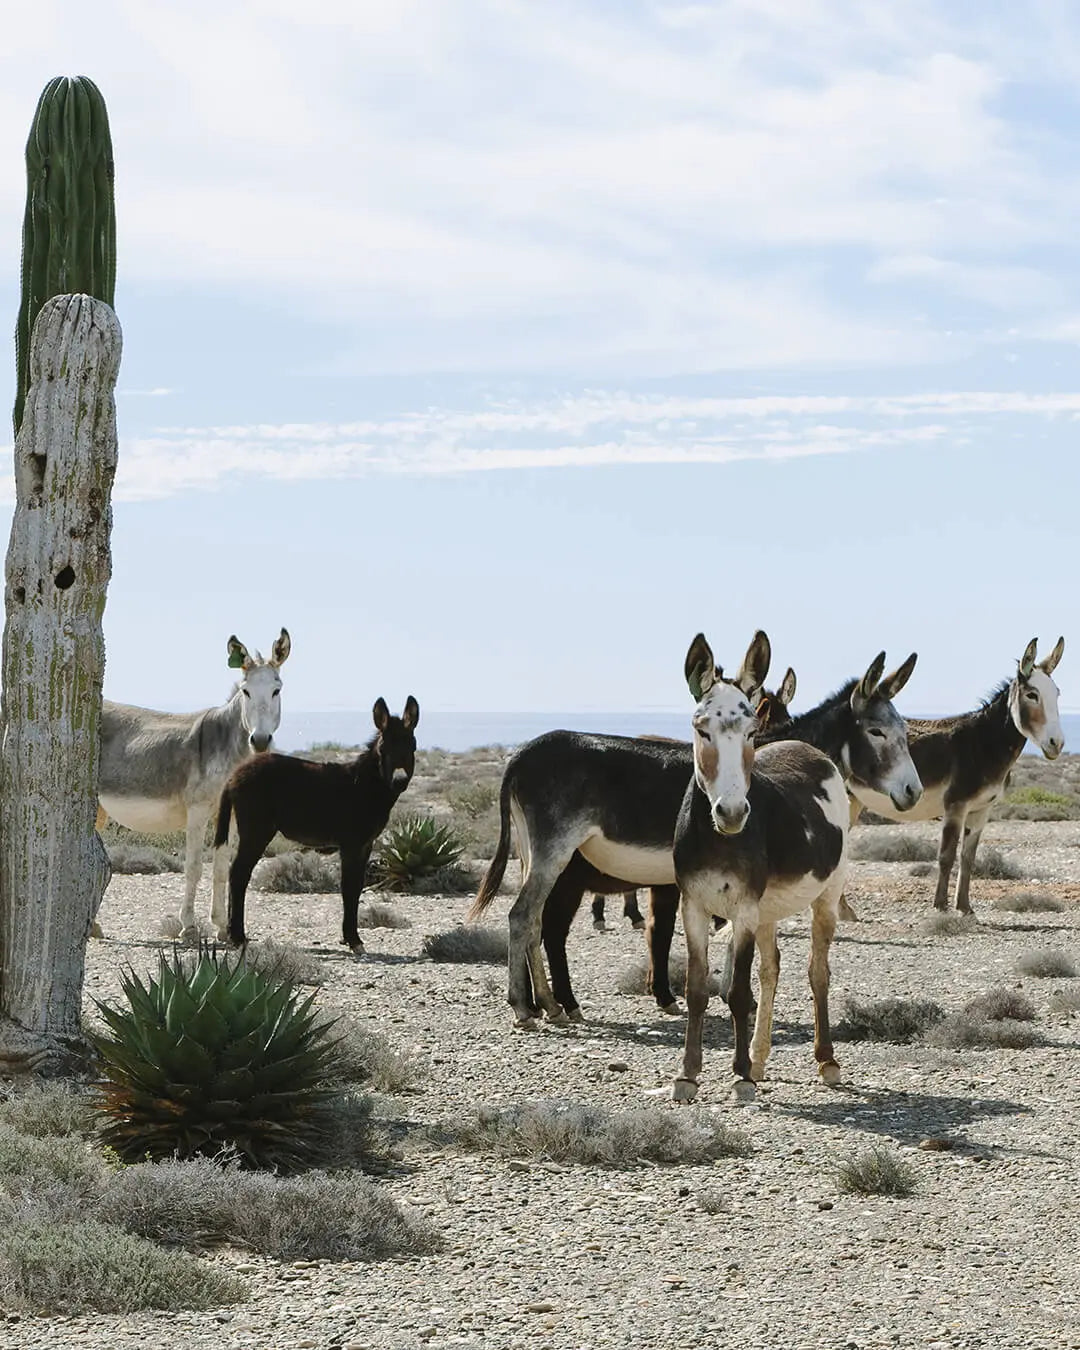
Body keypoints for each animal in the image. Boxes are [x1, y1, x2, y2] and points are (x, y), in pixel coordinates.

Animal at [210, 696, 418, 950]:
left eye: (412, 746)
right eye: (383, 749)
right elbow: (349, 887)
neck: (366, 785)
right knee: (239, 873)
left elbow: (357, 886)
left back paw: (234, 934)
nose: (399, 781)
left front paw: (349, 937)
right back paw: (238, 936)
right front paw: (353, 939)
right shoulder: (351, 844)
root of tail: (234, 776)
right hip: (257, 830)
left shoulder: (365, 844)